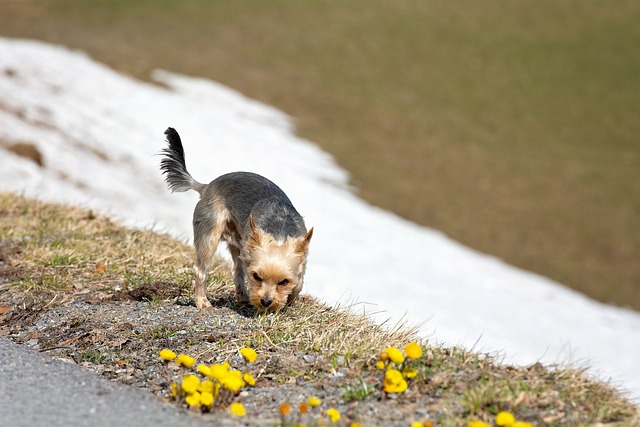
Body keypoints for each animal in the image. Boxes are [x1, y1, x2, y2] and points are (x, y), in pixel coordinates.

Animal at [158, 127, 312, 310]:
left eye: (284, 282)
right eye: (256, 276)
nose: (266, 302)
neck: (278, 232)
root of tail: (206, 186)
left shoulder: (301, 260)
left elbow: (299, 284)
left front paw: (289, 300)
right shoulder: (248, 259)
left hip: (237, 240)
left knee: (236, 270)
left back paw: (242, 296)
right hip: (210, 232)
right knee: (201, 269)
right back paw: (202, 301)